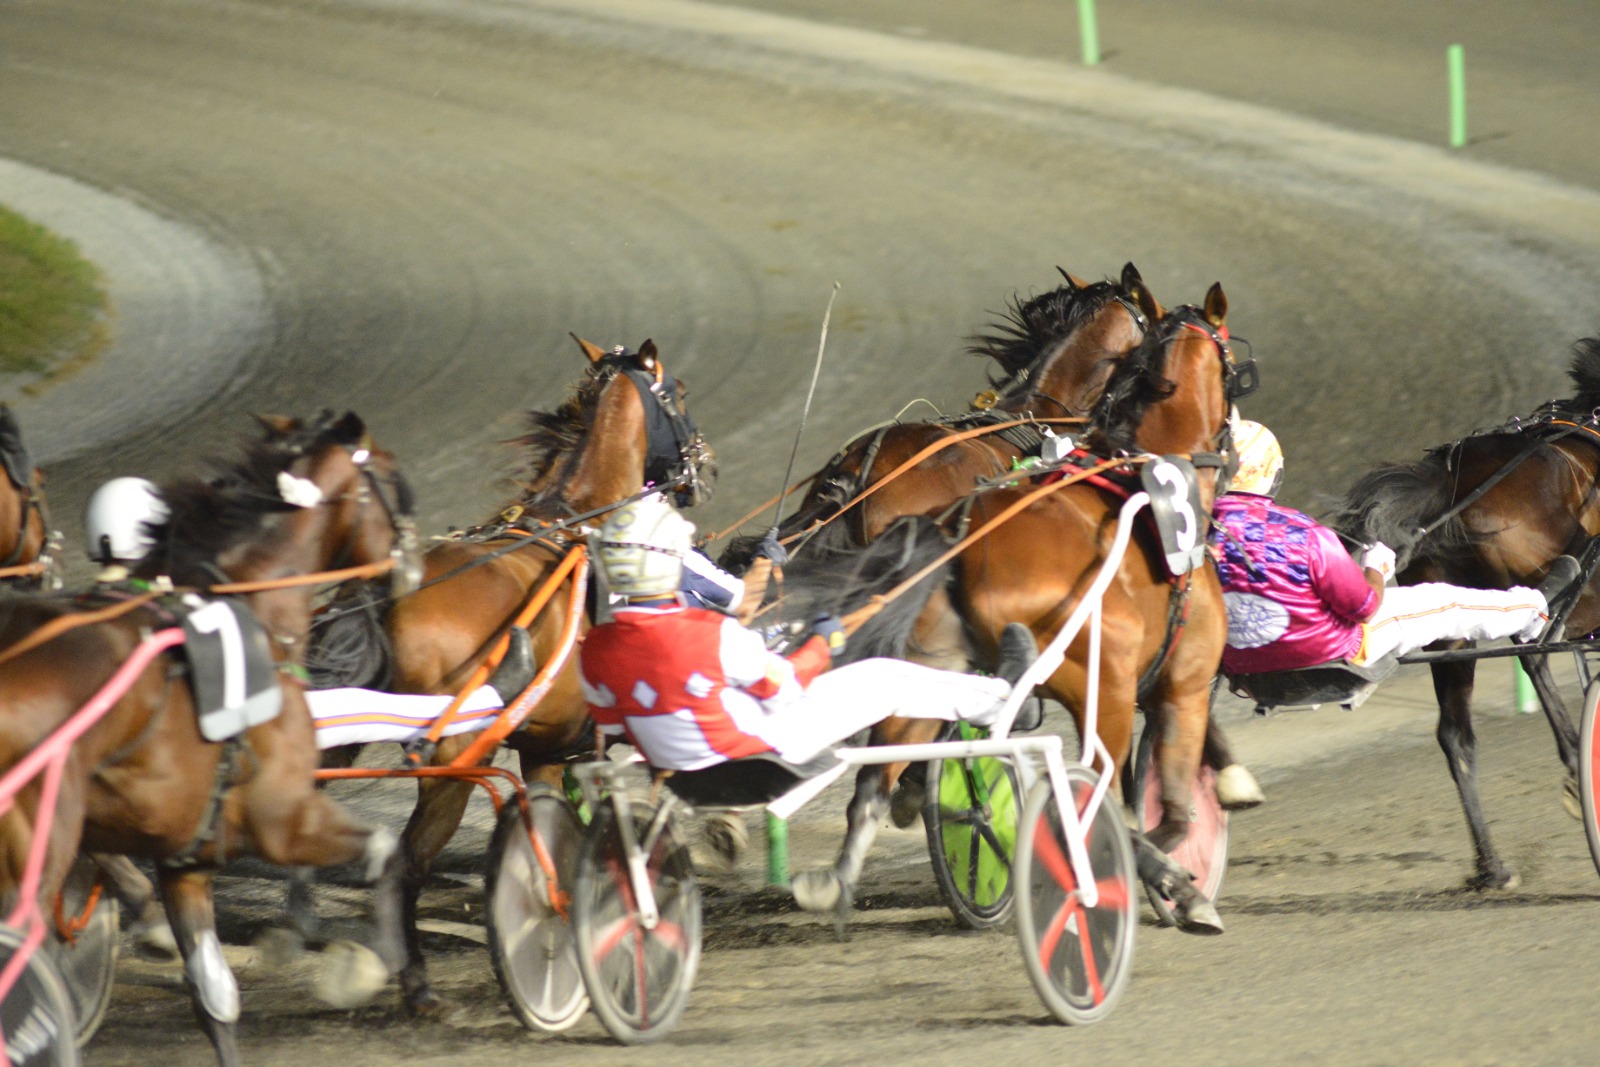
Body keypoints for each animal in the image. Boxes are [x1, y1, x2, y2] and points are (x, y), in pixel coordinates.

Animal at [0, 412, 422, 1067]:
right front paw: (361, 968)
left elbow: (215, 999)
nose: (413, 560)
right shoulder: (283, 820)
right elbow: (385, 851)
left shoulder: (185, 858)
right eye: (394, 482)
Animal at [304, 337, 713, 1017]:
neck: (576, 524)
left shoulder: (548, 748)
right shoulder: (589, 738)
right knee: (405, 864)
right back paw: (416, 985)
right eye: (678, 394)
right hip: (453, 756)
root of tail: (384, 590)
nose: (702, 462)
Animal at [1331, 337, 1600, 889]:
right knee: (1536, 651)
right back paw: (1571, 763)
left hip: (1451, 631)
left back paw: (1492, 866)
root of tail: (1448, 485)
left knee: (1455, 736)